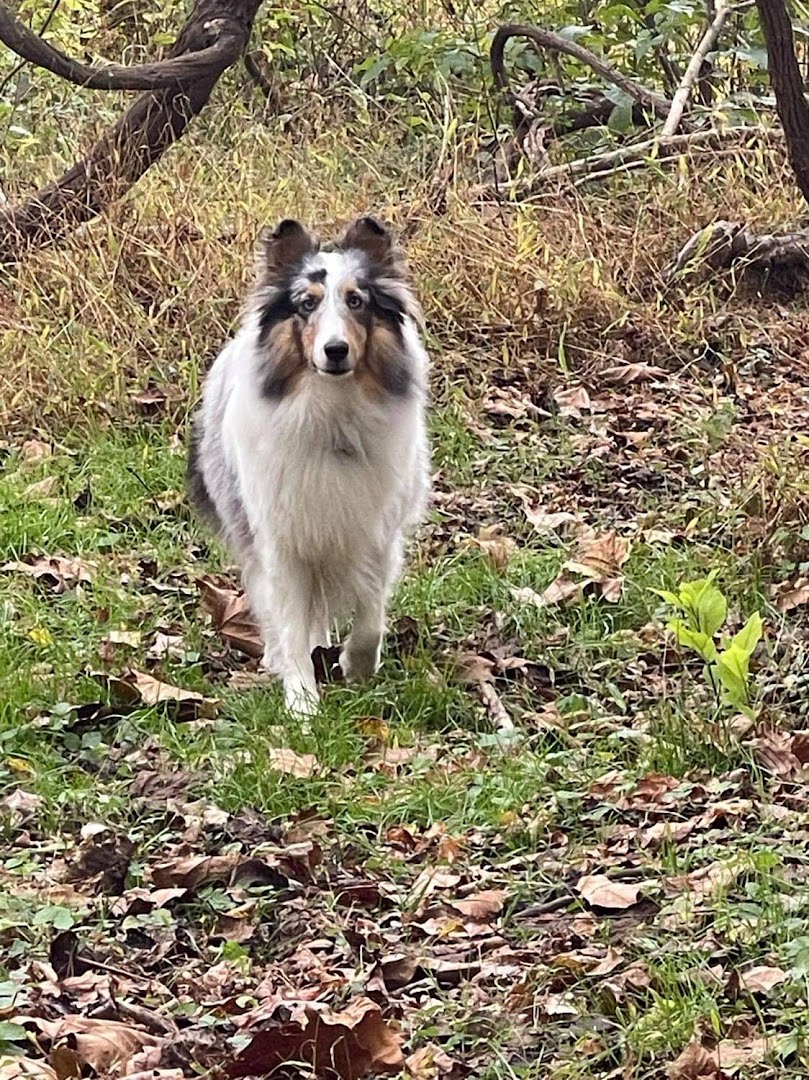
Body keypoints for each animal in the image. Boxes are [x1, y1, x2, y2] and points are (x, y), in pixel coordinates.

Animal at [187, 214, 429, 712]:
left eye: (356, 300)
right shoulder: (281, 541)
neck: (331, 415)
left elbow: (370, 615)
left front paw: (357, 668)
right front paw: (302, 704)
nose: (335, 351)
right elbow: (291, 624)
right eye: (306, 304)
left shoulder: (375, 533)